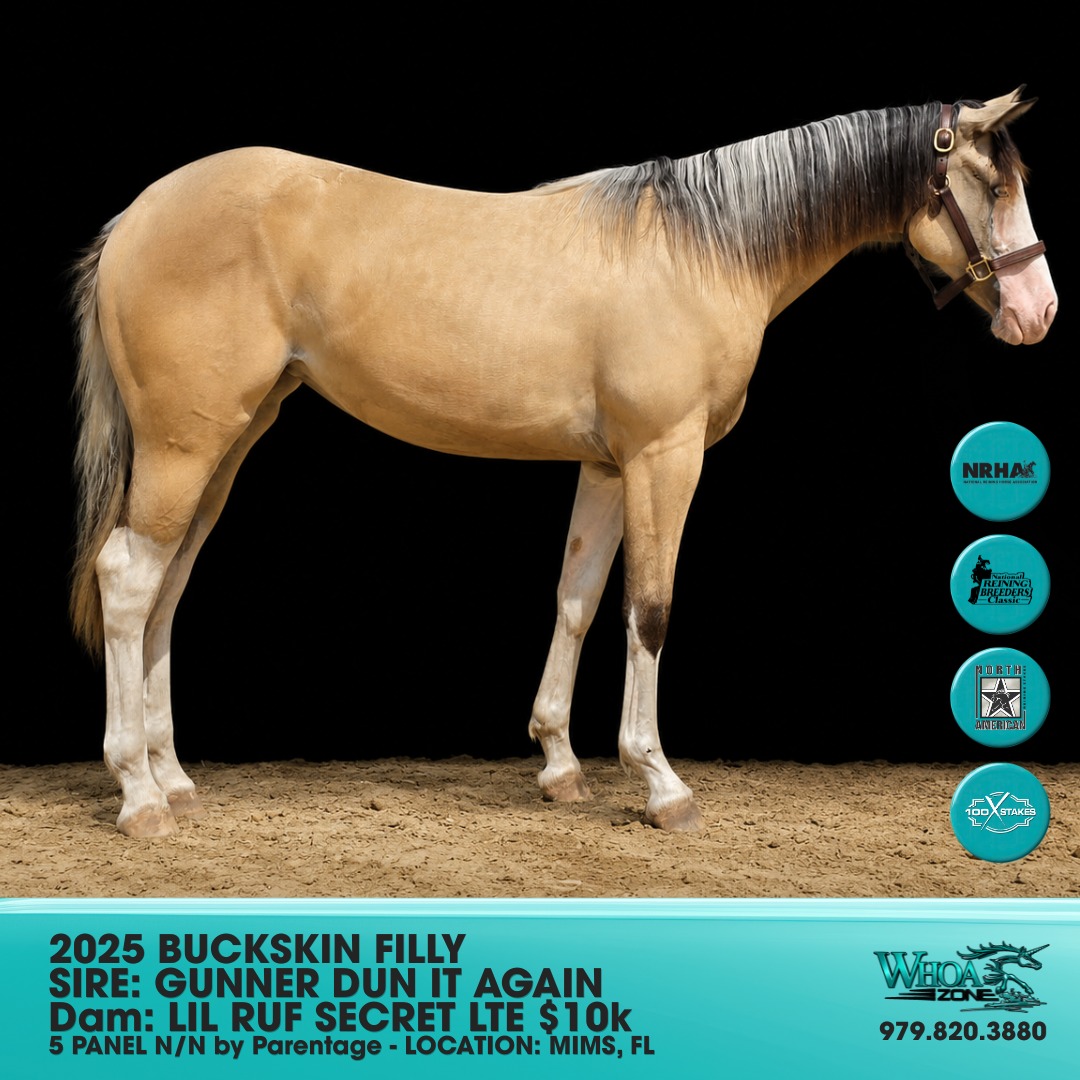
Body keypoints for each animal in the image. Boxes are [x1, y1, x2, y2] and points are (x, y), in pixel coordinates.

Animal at [71, 89, 1056, 837]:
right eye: (993, 182)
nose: (1037, 313)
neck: (700, 248)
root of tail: (134, 219)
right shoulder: (665, 456)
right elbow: (649, 609)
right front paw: (660, 783)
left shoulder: (611, 467)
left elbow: (578, 600)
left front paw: (558, 764)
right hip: (186, 445)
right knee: (128, 578)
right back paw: (138, 795)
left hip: (225, 445)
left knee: (168, 588)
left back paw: (173, 777)